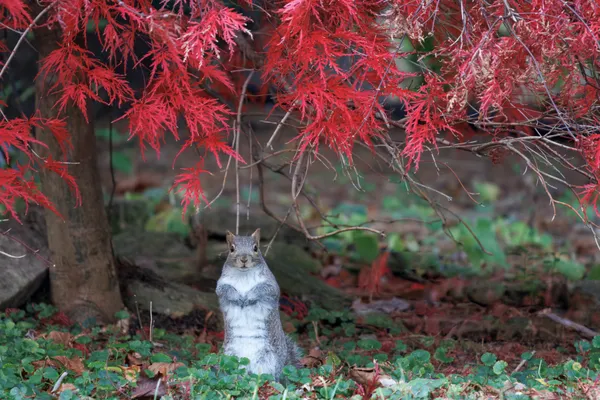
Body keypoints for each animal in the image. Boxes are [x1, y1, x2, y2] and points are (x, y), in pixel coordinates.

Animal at [216, 230, 302, 380]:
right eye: (231, 249)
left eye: (256, 248)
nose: (244, 259)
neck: (243, 275)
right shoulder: (221, 286)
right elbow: (225, 290)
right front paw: (238, 298)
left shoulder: (271, 285)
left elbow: (262, 289)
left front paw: (249, 297)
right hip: (230, 357)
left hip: (268, 360)